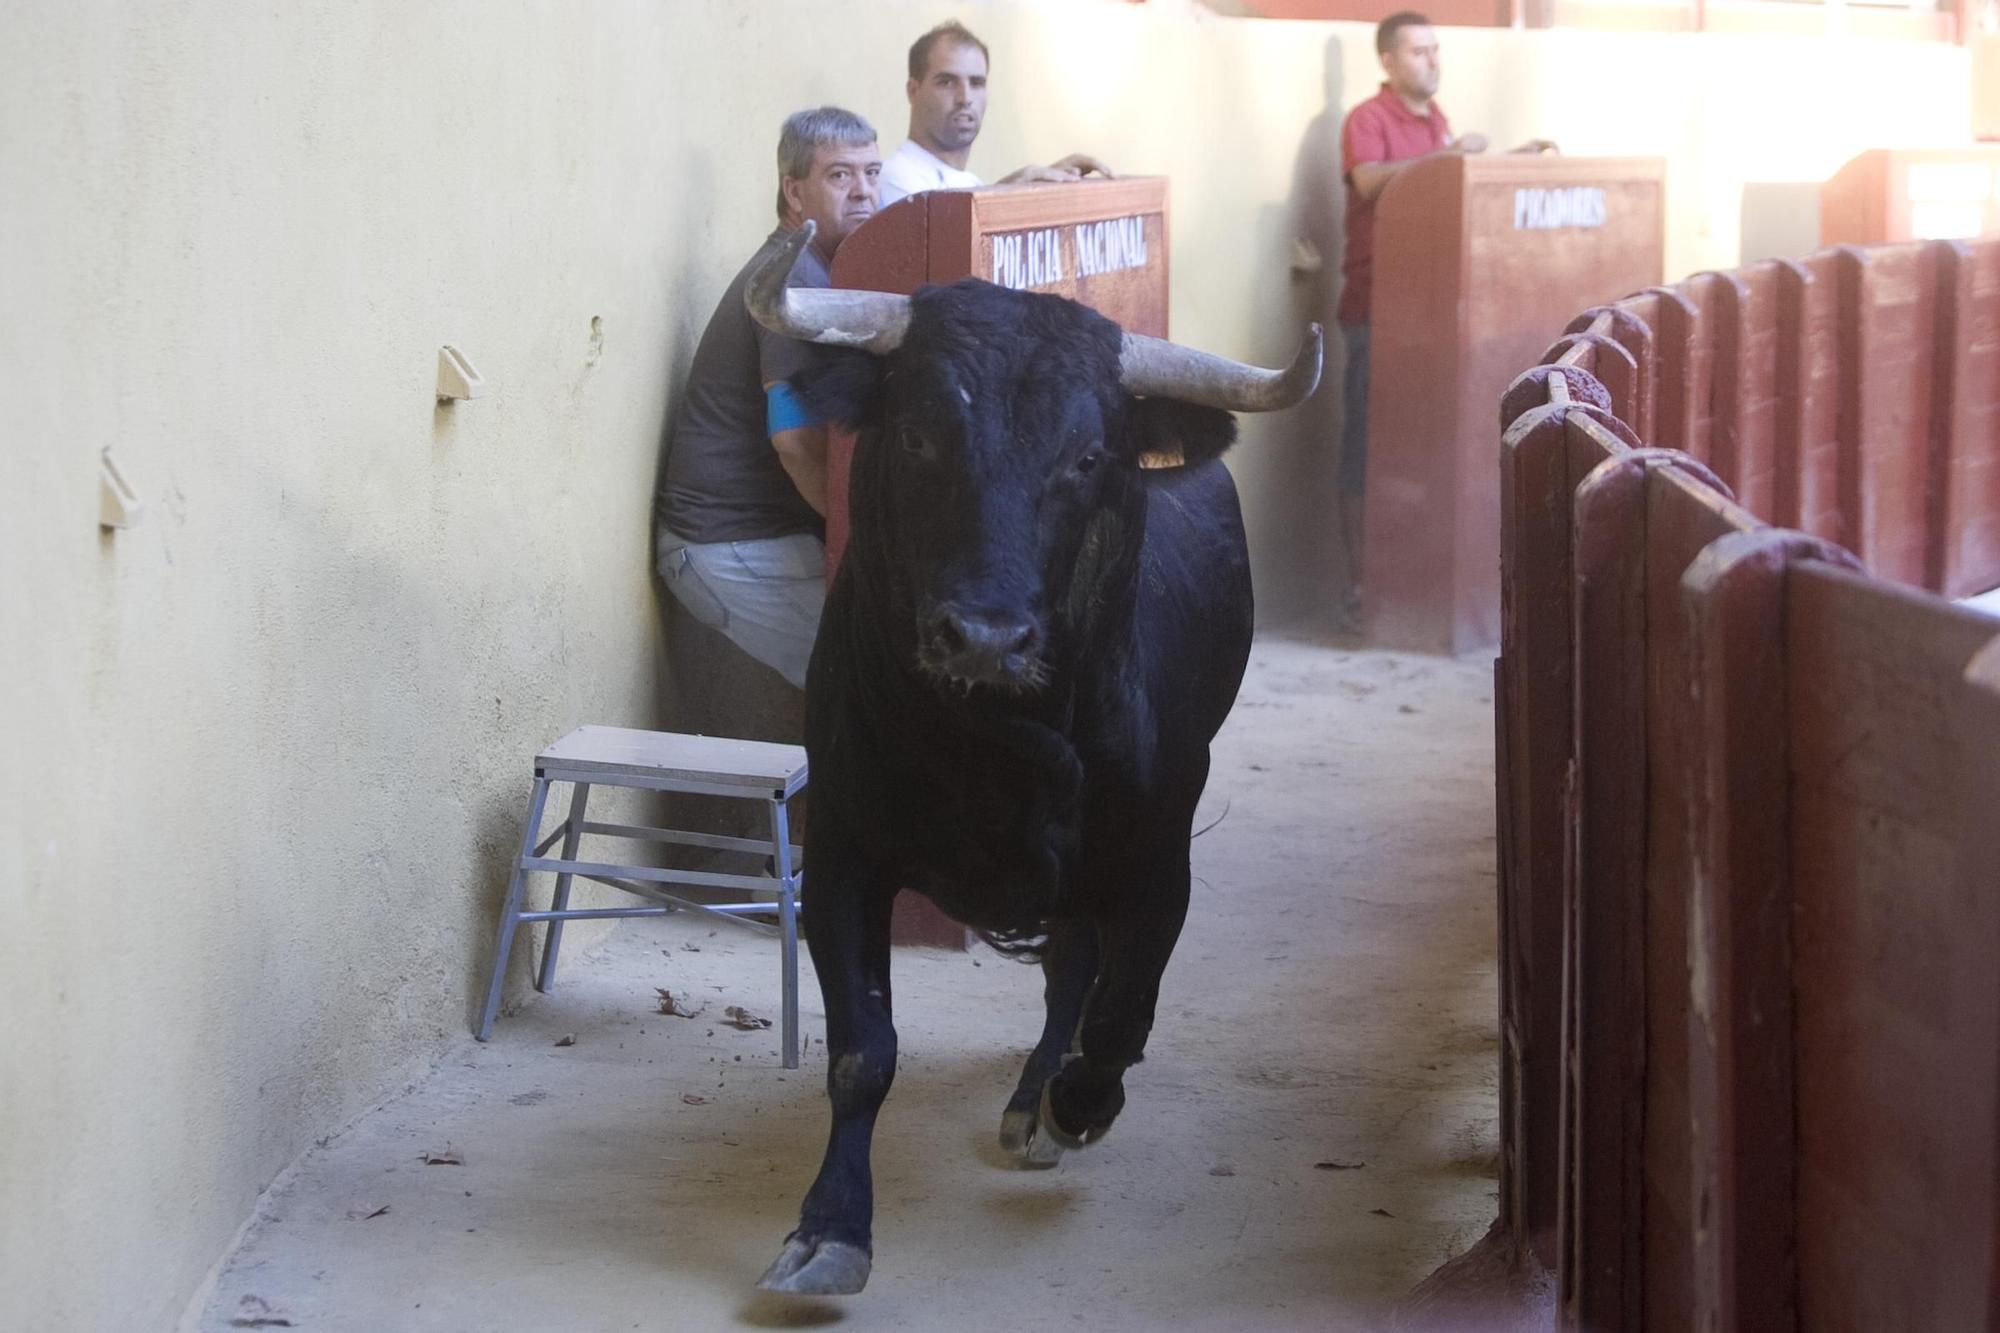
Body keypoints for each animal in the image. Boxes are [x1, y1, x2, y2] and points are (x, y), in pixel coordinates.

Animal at [744, 223, 1320, 1288]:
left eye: (1087, 457)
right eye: (920, 435)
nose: (984, 635)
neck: (992, 745)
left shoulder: (1155, 857)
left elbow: (1121, 1012)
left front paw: (1073, 1105)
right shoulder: (843, 851)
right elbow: (862, 1050)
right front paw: (830, 1227)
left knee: (1082, 982)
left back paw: (1040, 1102)